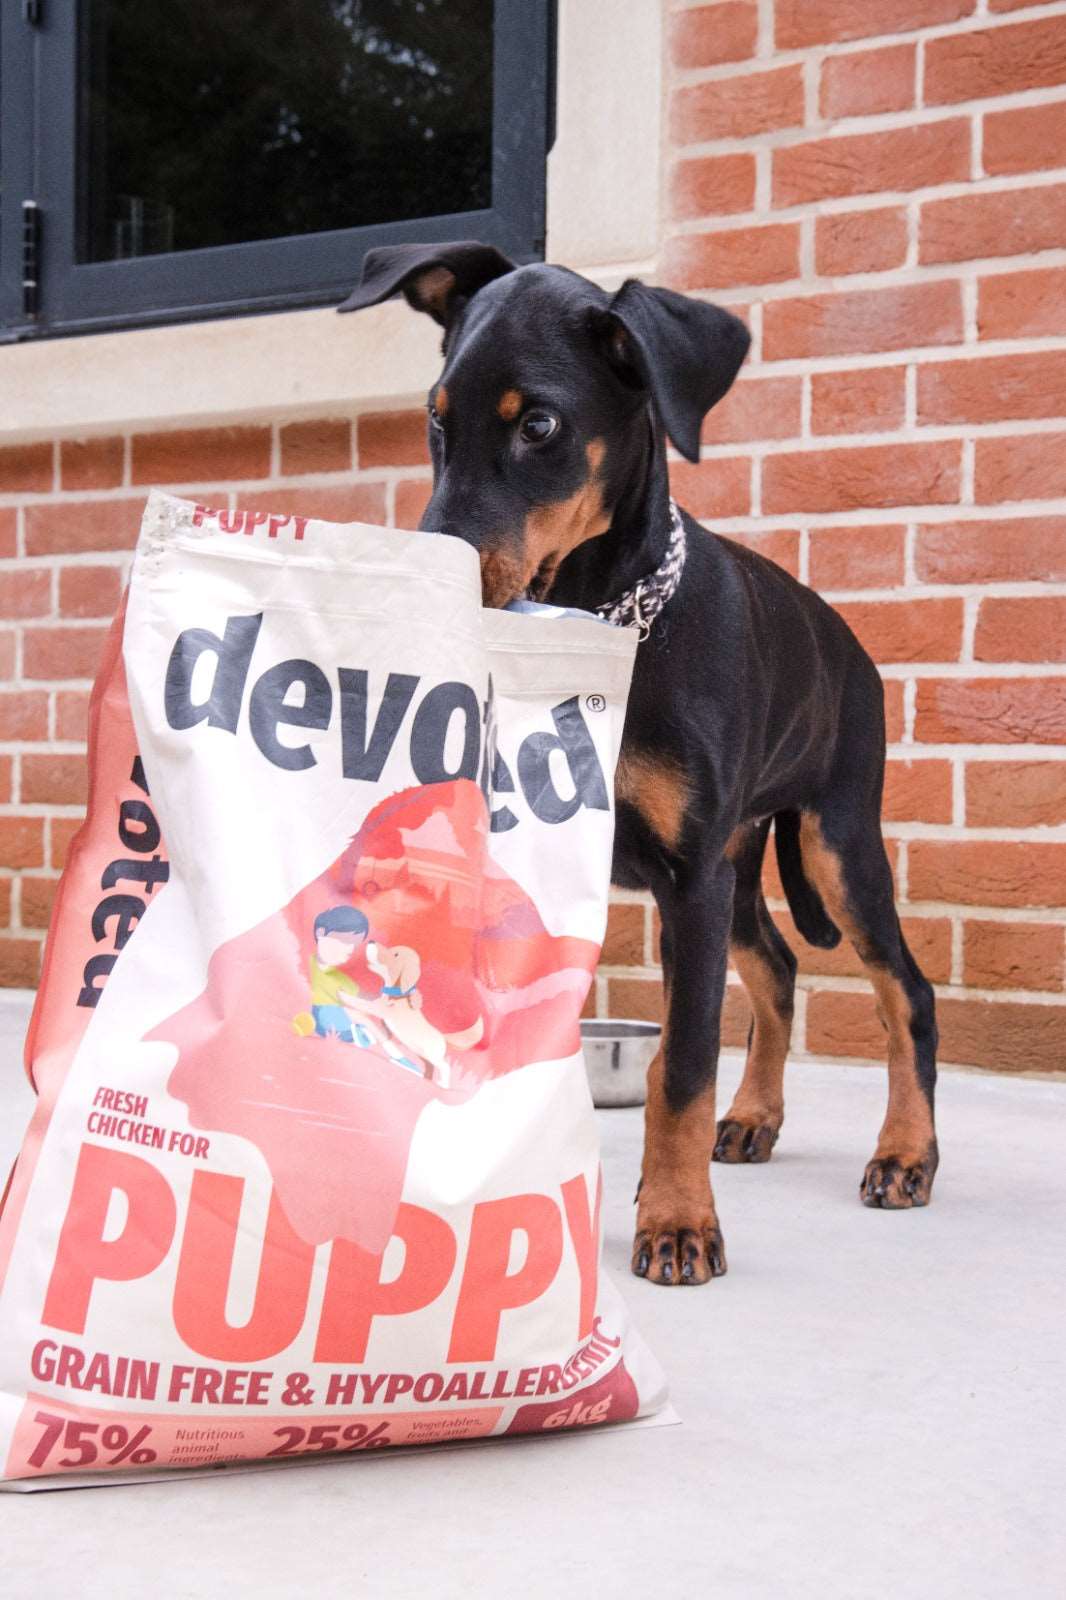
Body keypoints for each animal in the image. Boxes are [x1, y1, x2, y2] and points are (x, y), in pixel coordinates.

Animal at [336, 240, 934, 1286]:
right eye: (435, 419)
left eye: (538, 423)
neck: (597, 632)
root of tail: (846, 640)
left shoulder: (688, 879)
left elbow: (683, 1062)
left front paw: (679, 1225)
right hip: (738, 862)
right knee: (777, 966)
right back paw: (755, 1118)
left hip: (834, 841)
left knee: (904, 988)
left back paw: (905, 1153)